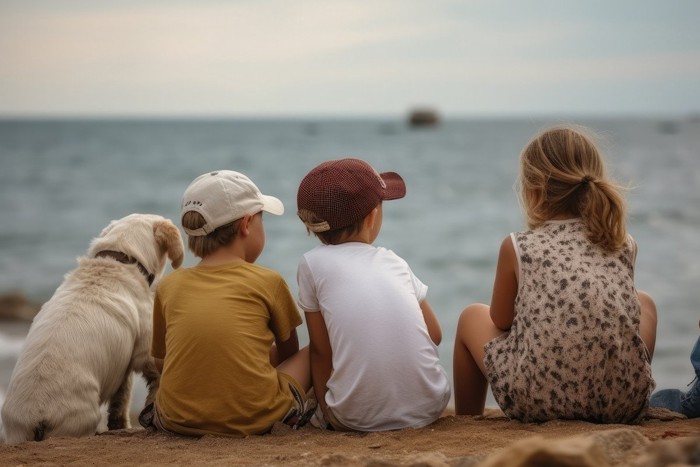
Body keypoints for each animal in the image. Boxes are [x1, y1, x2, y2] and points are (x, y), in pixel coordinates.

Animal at [0, 214, 183, 444]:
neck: (119, 261)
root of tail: (37, 420)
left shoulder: (121, 364)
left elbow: (120, 399)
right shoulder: (146, 352)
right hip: (80, 421)